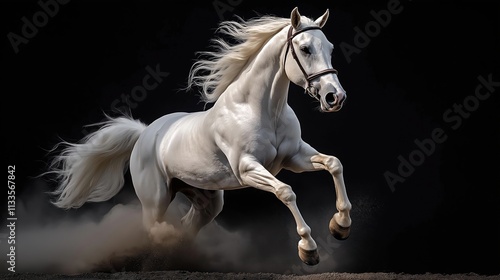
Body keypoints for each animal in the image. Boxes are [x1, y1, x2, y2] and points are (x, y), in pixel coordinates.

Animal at [47, 7, 352, 264]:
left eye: (330, 48)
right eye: (305, 48)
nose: (334, 97)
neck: (260, 109)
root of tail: (145, 133)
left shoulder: (295, 157)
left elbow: (334, 163)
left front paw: (340, 226)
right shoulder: (248, 169)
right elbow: (286, 191)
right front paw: (308, 250)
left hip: (206, 200)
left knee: (186, 226)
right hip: (155, 201)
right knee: (154, 230)